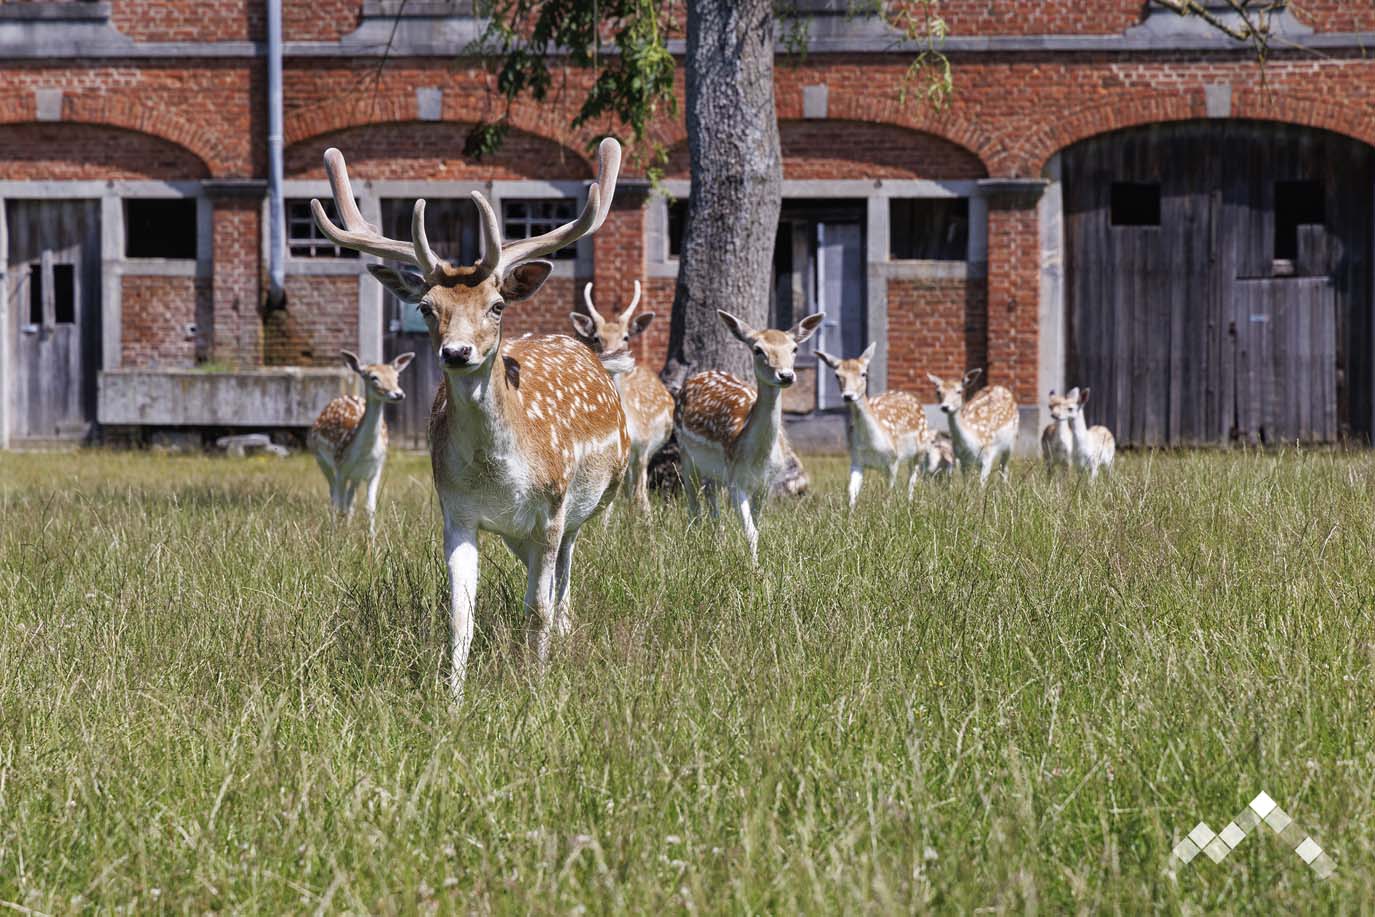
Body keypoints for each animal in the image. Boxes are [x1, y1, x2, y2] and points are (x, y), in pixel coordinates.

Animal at [302, 351, 404, 538]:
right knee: (335, 496)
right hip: (321, 459)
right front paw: (337, 536)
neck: (366, 452)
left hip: (356, 475)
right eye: (374, 377)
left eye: (397, 376)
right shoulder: (341, 466)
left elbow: (370, 507)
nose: (398, 394)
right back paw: (337, 527)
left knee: (350, 499)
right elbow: (339, 503)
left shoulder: (376, 469)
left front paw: (372, 538)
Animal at [313, 138, 629, 695]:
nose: (457, 352)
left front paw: (536, 682)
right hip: (517, 531)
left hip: (584, 504)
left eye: (497, 304)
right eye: (425, 306)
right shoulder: (456, 512)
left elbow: (537, 608)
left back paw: (564, 635)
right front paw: (453, 693)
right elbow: (460, 611)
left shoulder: (551, 511)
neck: (496, 475)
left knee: (564, 580)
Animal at [572, 280, 673, 516]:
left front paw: (646, 517)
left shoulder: (644, 445)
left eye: (626, 336)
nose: (611, 355)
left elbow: (641, 490)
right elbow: (608, 502)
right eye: (596, 337)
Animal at [673, 312, 819, 563]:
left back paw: (718, 545)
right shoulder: (736, 480)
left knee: (711, 498)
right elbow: (750, 531)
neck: (757, 456)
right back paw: (694, 543)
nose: (786, 375)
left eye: (794, 348)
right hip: (685, 452)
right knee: (693, 504)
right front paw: (755, 567)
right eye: (758, 349)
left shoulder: (765, 483)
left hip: (714, 470)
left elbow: (757, 525)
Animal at [814, 342, 935, 505]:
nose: (848, 396)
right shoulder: (856, 459)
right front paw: (850, 511)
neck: (872, 444)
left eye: (863, 373)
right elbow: (851, 492)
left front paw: (887, 509)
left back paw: (909, 501)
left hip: (921, 448)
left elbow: (889, 493)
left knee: (912, 479)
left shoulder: (893, 459)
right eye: (837, 375)